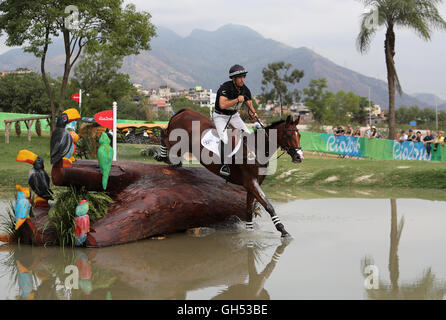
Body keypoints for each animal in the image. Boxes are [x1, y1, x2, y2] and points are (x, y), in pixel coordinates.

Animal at [155, 110, 304, 238]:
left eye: (300, 135)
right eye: (288, 135)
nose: (299, 157)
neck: (257, 149)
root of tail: (184, 111)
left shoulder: (252, 185)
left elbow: (249, 210)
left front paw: (249, 232)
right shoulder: (251, 182)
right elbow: (268, 206)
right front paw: (283, 230)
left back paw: (172, 161)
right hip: (177, 139)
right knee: (164, 133)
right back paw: (160, 155)